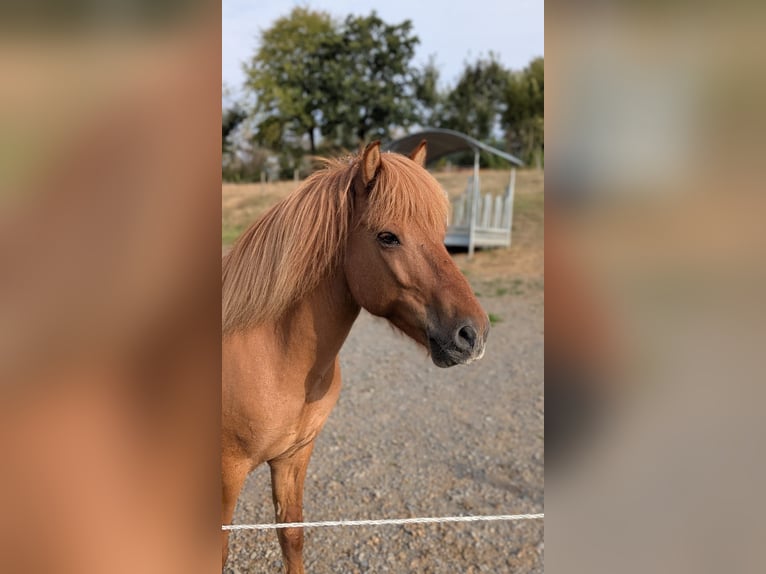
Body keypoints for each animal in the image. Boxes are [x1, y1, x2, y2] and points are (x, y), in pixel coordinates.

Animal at [221, 141, 490, 572]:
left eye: (440, 234)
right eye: (388, 237)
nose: (473, 334)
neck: (274, 357)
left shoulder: (292, 458)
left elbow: (291, 536)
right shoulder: (226, 474)